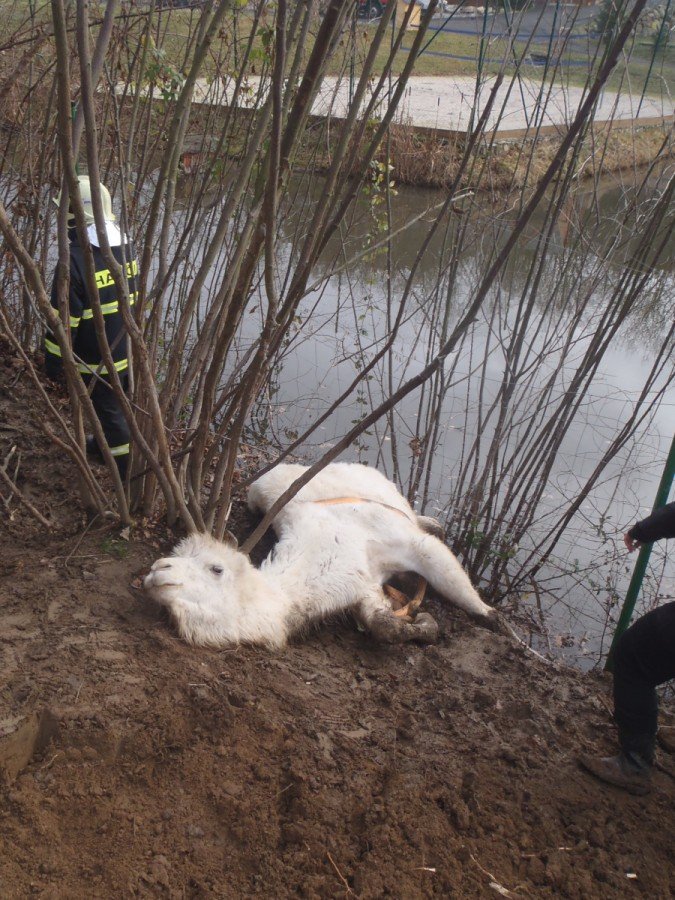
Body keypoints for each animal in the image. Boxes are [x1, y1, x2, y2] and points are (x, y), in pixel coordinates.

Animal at [144, 464, 508, 648]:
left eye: (216, 568)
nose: (157, 569)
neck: (332, 547)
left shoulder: (406, 542)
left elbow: (448, 574)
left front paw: (491, 615)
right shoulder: (364, 587)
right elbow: (381, 624)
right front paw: (422, 623)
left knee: (428, 525)